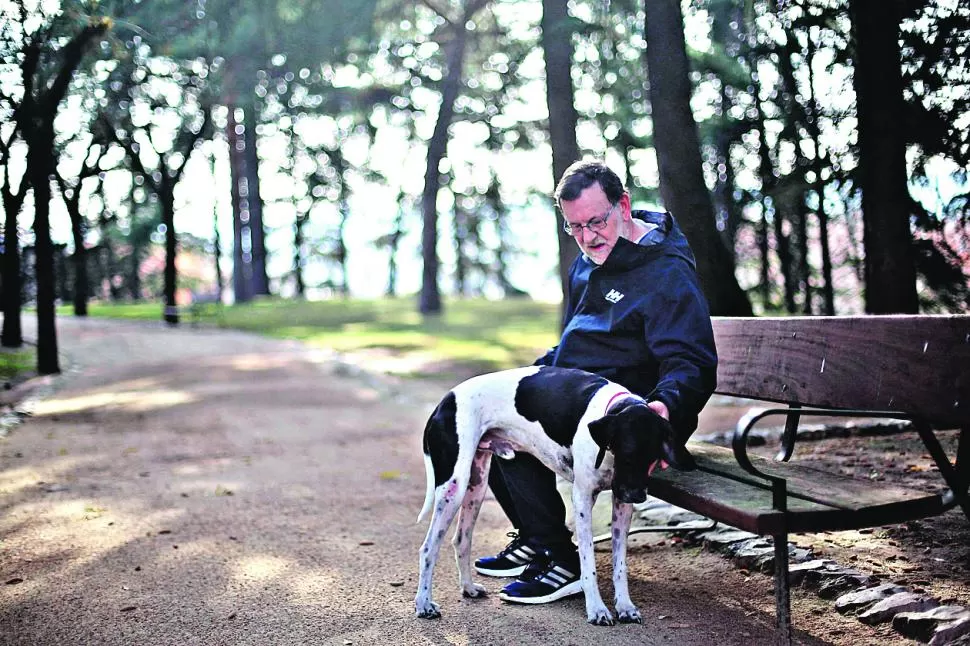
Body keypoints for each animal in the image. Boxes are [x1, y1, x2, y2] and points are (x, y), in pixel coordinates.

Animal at [412, 370, 684, 628]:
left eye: (654, 459)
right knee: (428, 548)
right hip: (453, 488)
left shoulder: (622, 507)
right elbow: (588, 564)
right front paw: (597, 609)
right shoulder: (583, 499)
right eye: (626, 455)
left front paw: (625, 606)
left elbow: (620, 566)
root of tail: (445, 401)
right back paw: (424, 604)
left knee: (461, 540)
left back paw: (468, 588)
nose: (637, 496)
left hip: (475, 486)